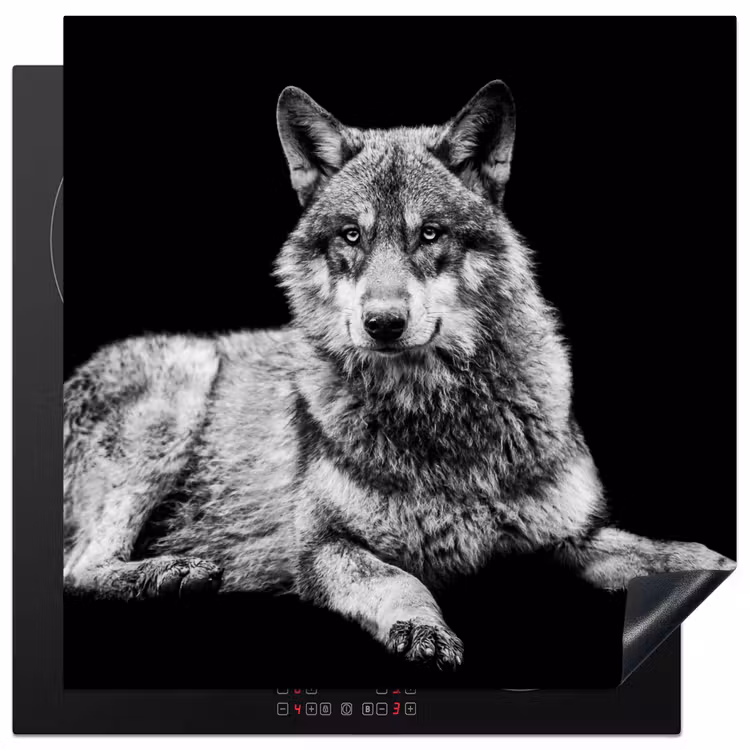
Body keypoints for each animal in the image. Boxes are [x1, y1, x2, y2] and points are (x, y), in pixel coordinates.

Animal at [63, 81, 734, 669]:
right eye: (352, 235)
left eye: (429, 234)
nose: (382, 323)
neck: (440, 417)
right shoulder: (323, 547)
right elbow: (399, 580)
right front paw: (423, 630)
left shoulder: (572, 535)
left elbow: (665, 554)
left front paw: (709, 563)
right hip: (178, 397)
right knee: (78, 569)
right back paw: (171, 573)